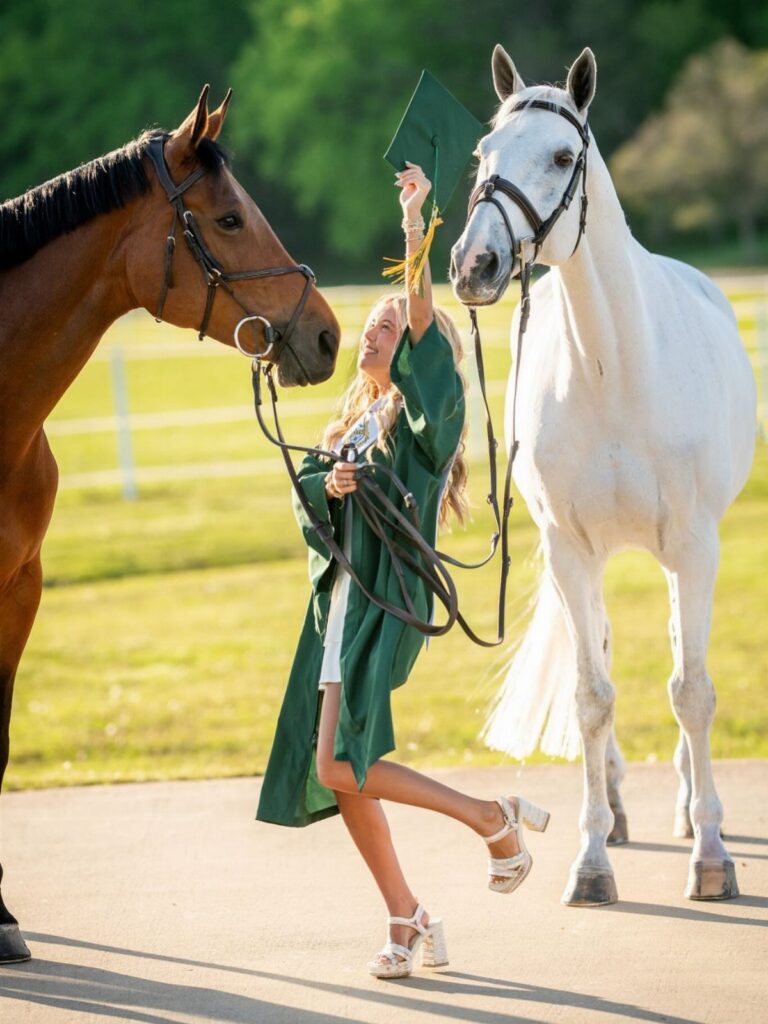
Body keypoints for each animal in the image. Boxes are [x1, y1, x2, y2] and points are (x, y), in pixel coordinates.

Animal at [450, 46, 756, 907]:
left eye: (562, 157)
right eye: (482, 155)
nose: (475, 264)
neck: (615, 369)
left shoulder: (693, 548)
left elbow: (692, 691)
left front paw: (711, 857)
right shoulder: (570, 551)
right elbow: (592, 698)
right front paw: (592, 862)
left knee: (683, 658)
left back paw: (687, 809)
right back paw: (617, 807)